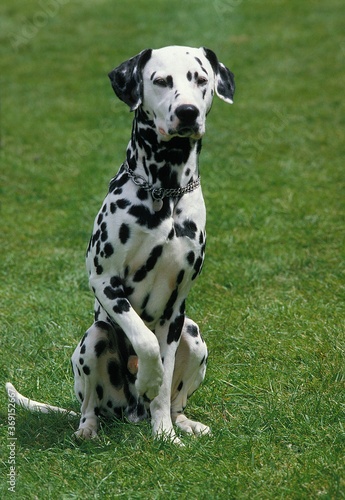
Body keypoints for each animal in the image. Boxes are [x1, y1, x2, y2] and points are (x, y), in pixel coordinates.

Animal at [6, 46, 234, 446]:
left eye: (201, 79)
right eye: (161, 80)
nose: (187, 112)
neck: (165, 191)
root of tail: (129, 413)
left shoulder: (175, 310)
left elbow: (164, 378)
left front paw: (165, 433)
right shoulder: (104, 281)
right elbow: (144, 341)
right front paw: (146, 376)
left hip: (193, 334)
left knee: (175, 400)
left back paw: (182, 422)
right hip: (93, 341)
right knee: (89, 404)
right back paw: (88, 427)